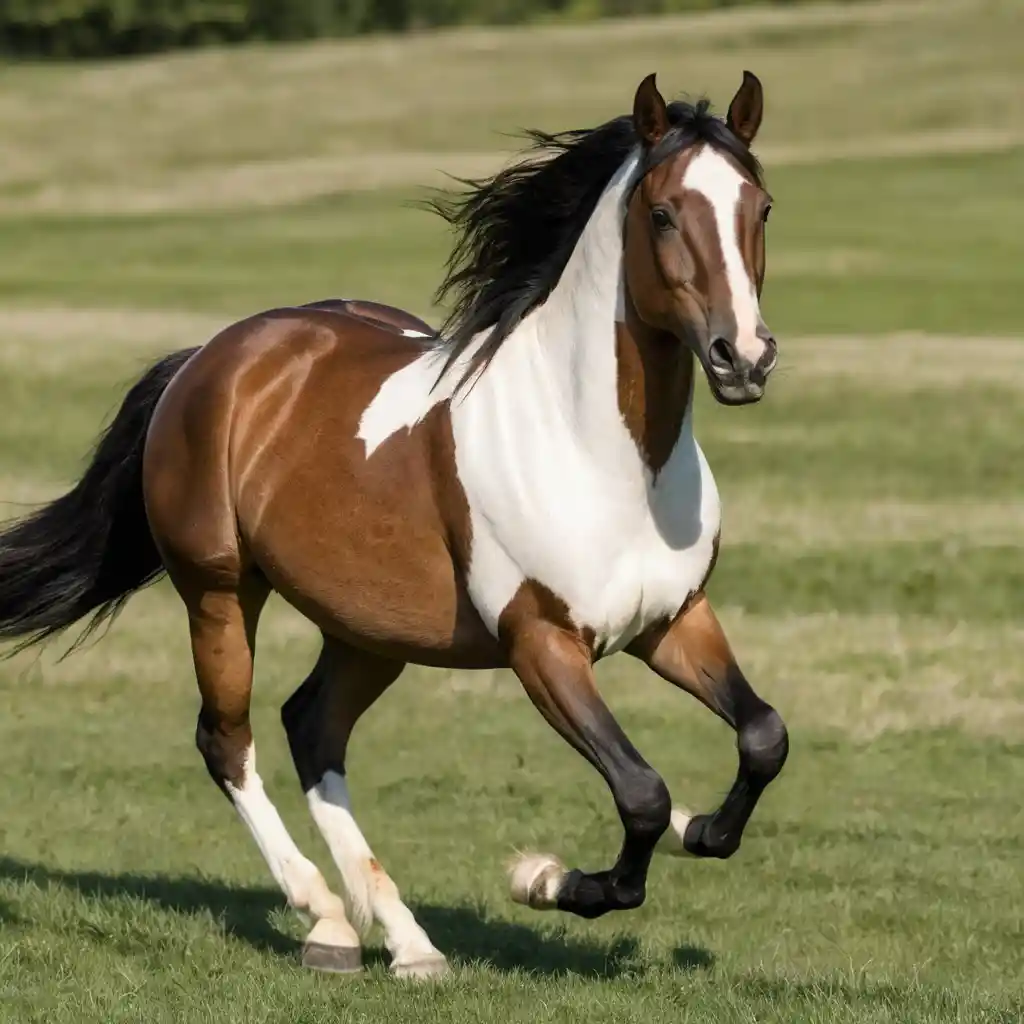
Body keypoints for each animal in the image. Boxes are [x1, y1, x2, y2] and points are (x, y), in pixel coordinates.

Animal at [0, 71, 787, 979]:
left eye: (762, 207)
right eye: (662, 212)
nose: (743, 357)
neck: (608, 457)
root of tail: (212, 358)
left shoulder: (672, 621)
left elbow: (762, 737)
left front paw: (704, 828)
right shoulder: (542, 643)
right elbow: (642, 793)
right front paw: (548, 881)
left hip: (370, 629)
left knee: (311, 728)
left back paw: (405, 942)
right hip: (220, 592)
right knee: (227, 740)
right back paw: (326, 921)